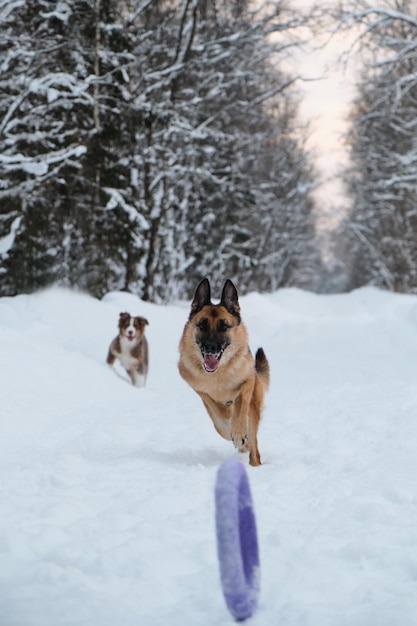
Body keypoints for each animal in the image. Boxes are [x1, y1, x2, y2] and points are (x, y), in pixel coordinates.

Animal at [178, 276, 270, 464]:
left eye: (224, 326)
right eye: (202, 325)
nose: (210, 347)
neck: (219, 372)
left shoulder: (248, 380)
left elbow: (241, 401)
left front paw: (238, 427)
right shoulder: (195, 385)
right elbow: (213, 401)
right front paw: (227, 411)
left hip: (253, 412)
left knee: (254, 449)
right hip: (218, 426)